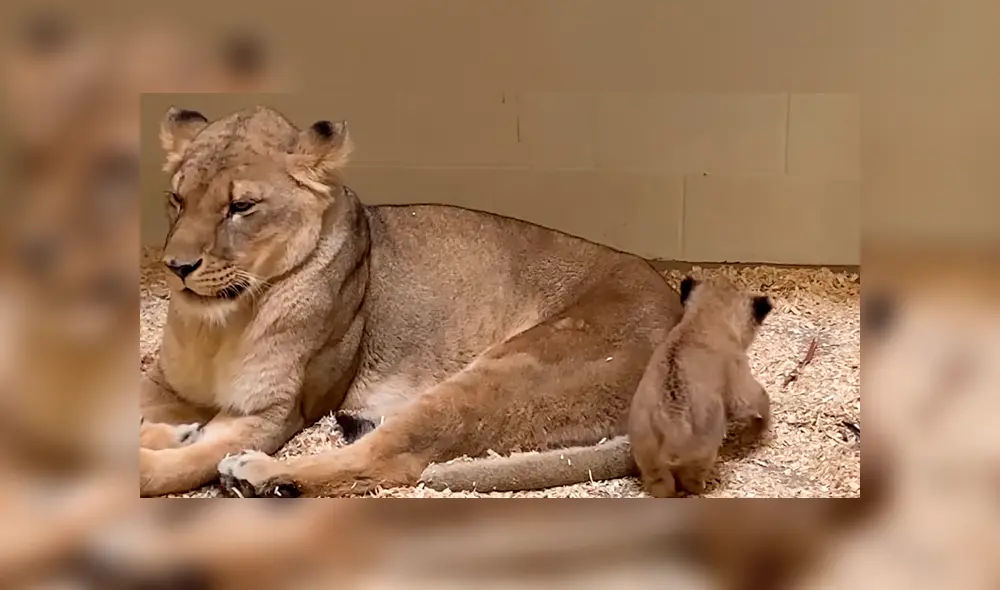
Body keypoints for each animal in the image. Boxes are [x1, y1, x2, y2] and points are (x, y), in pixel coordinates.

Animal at [138, 104, 689, 497]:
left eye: (241, 206)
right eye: (177, 199)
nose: (177, 267)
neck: (218, 325)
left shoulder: (273, 412)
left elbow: (178, 466)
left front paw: (166, 452)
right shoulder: (168, 383)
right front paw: (166, 431)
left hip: (511, 370)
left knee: (390, 458)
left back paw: (260, 476)